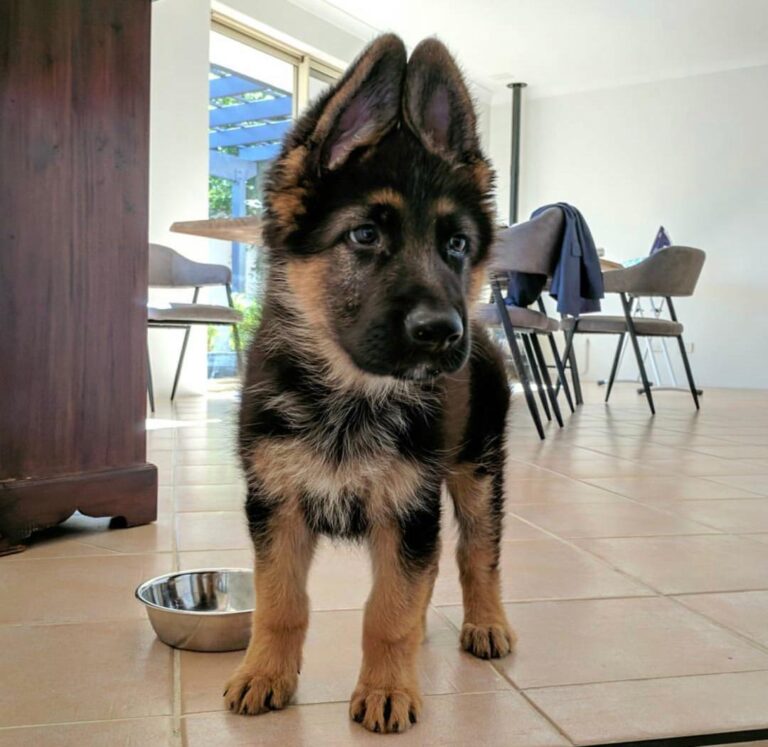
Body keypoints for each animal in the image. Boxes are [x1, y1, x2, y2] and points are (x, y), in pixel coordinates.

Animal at [224, 33, 515, 734]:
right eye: (364, 235)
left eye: (456, 245)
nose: (443, 333)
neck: (348, 393)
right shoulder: (276, 505)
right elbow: (281, 602)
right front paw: (265, 674)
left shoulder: (407, 508)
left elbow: (388, 609)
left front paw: (386, 687)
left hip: (478, 471)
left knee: (478, 554)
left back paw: (486, 622)